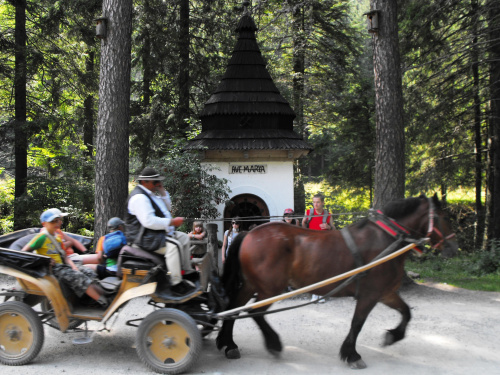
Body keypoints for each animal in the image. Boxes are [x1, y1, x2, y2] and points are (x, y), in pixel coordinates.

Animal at [217, 195, 458, 368]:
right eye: (445, 217)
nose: (452, 248)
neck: (385, 240)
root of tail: (248, 234)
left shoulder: (385, 293)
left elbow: (406, 312)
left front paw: (393, 336)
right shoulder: (369, 295)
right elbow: (357, 323)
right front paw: (352, 355)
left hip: (252, 285)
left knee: (234, 307)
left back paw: (229, 344)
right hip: (270, 289)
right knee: (254, 312)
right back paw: (273, 344)